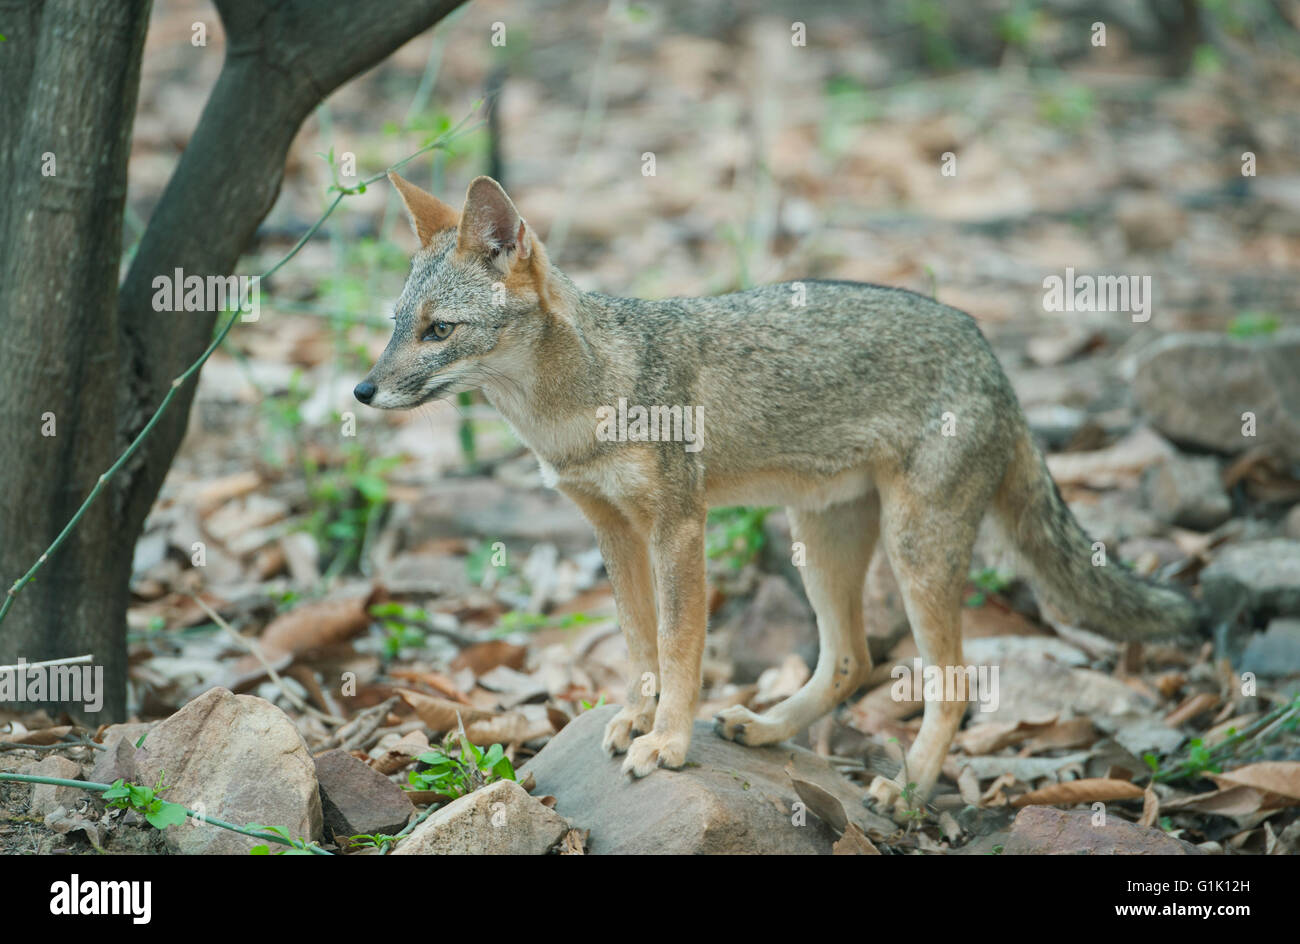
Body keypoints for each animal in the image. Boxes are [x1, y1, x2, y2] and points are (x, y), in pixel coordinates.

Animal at [356, 171, 1196, 821]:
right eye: (395, 327)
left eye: (439, 330)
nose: (362, 391)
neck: (581, 399)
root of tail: (992, 354)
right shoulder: (612, 531)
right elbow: (639, 644)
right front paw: (637, 718)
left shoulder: (678, 527)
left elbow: (680, 647)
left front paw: (667, 742)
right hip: (821, 542)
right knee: (852, 661)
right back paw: (766, 729)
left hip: (913, 552)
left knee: (952, 684)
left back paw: (906, 790)